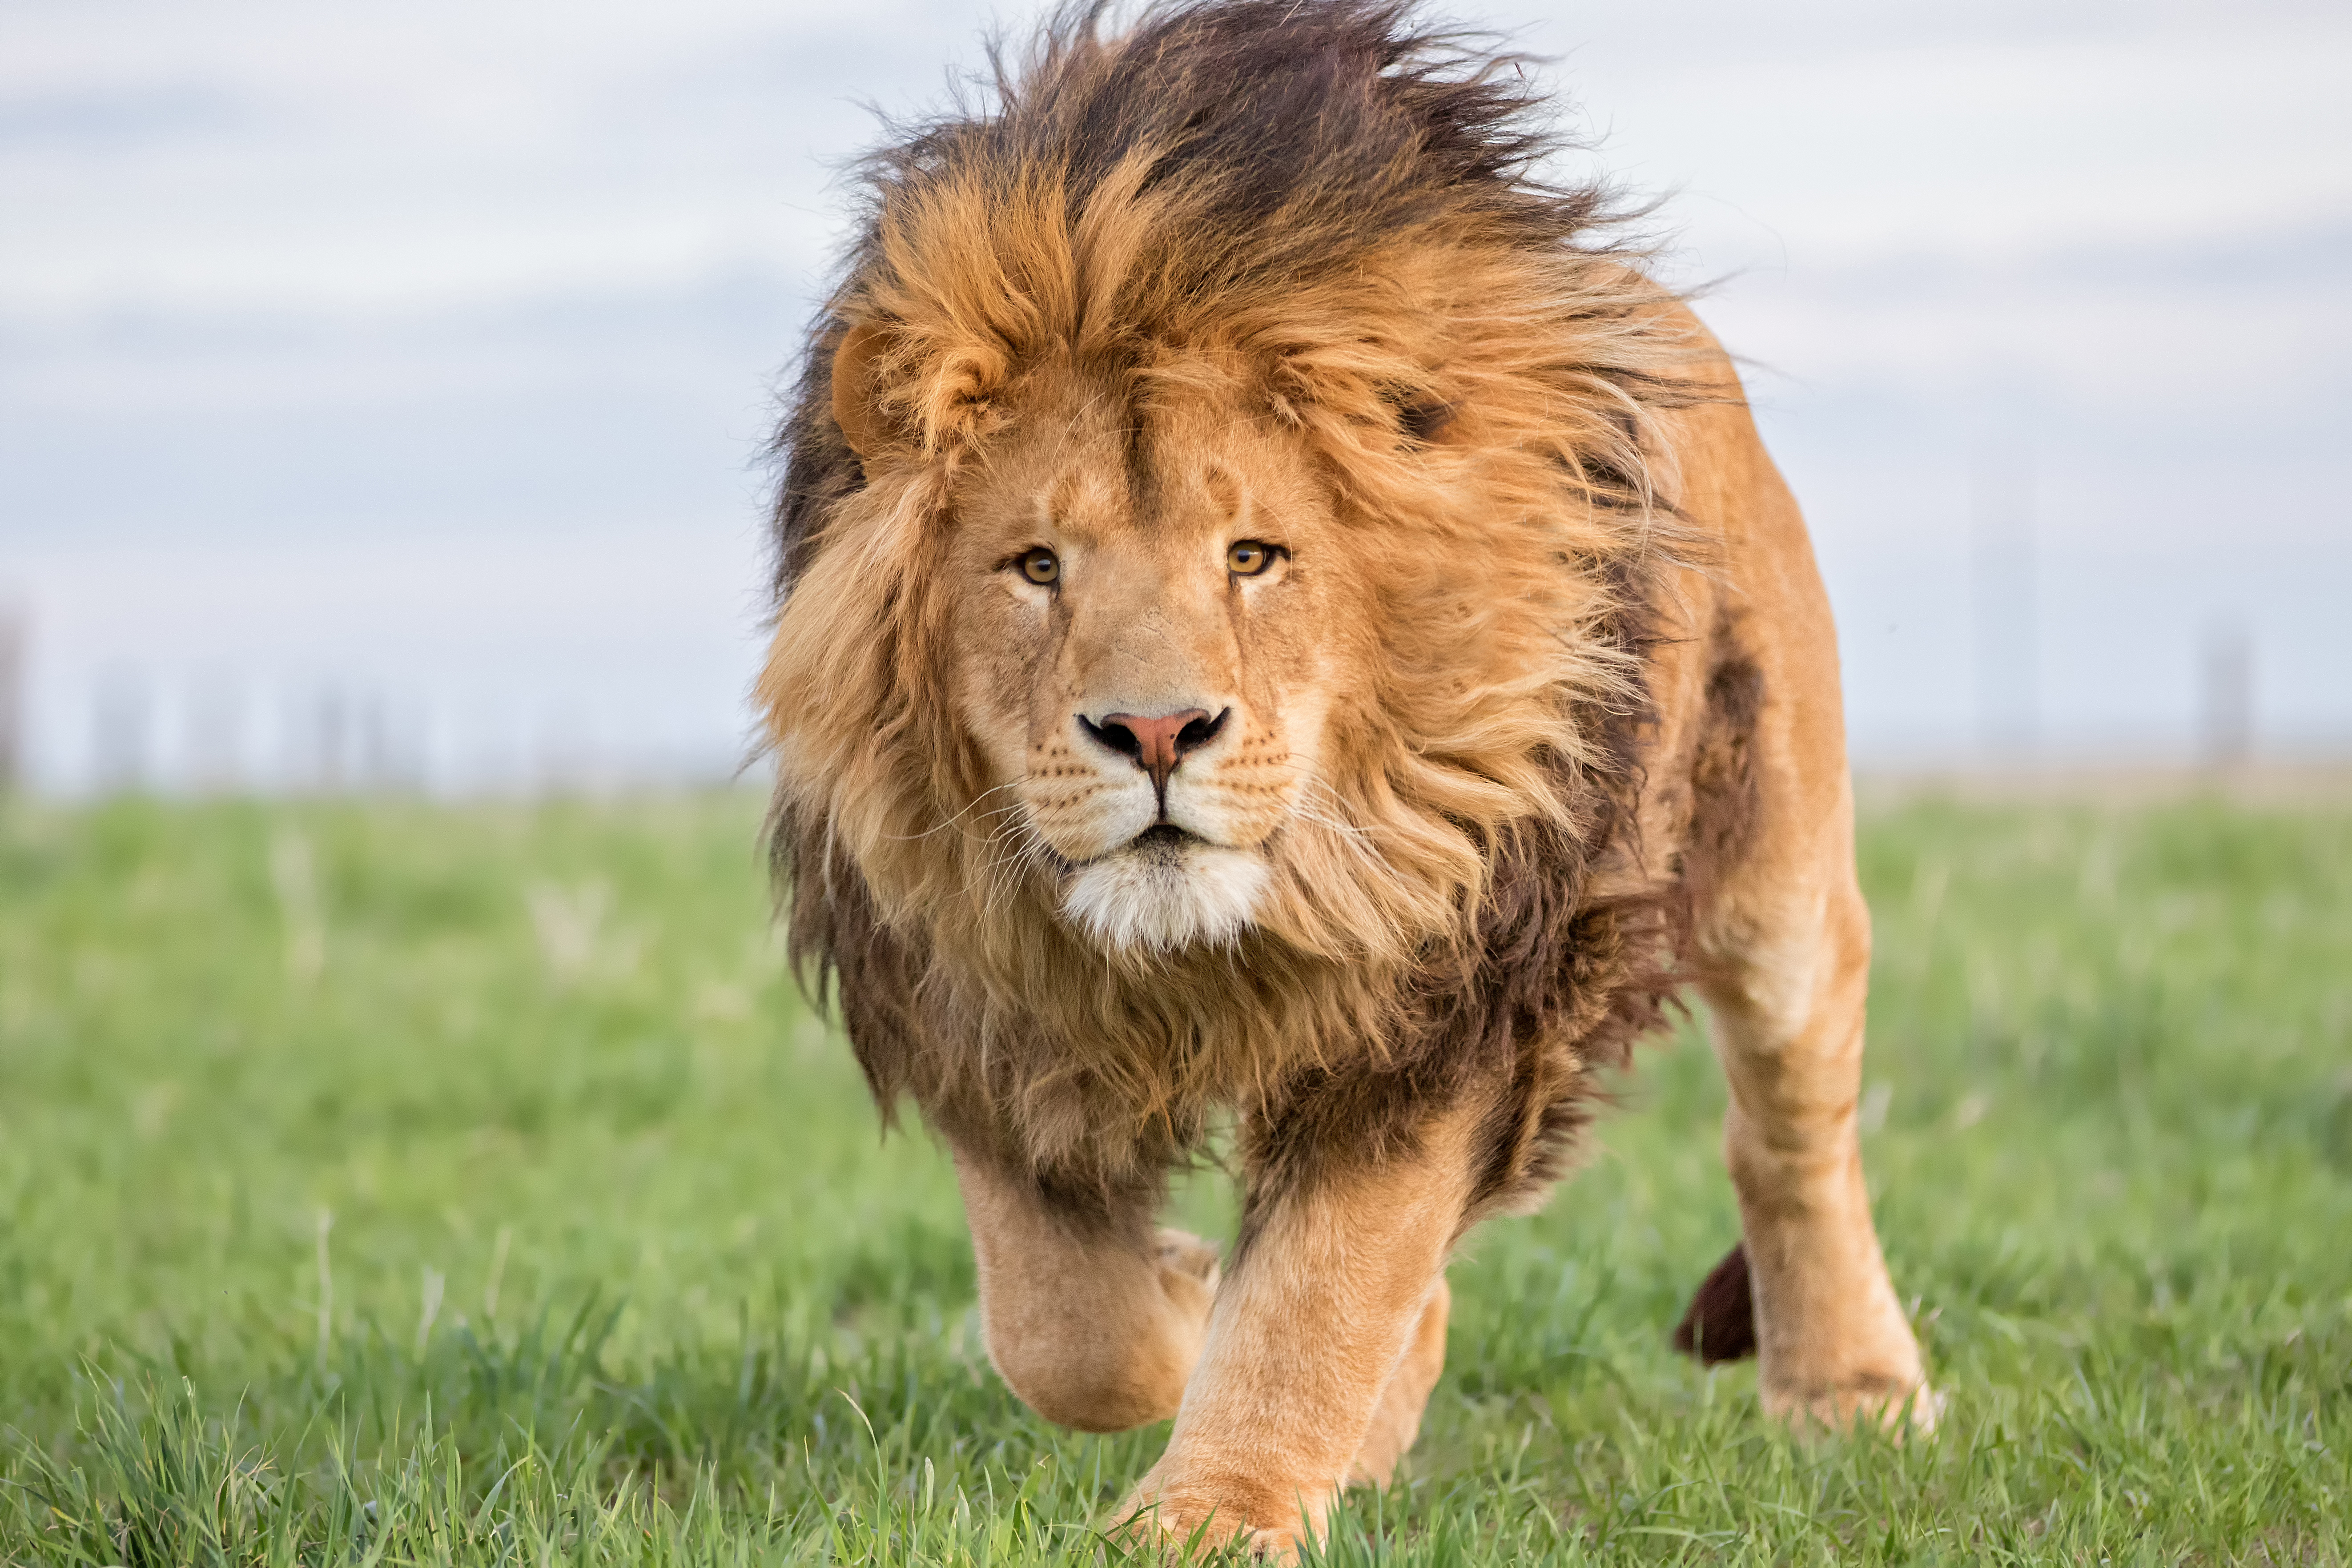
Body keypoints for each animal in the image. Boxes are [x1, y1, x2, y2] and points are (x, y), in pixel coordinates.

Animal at [756, 0, 1934, 1554]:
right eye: (1034, 565)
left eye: (1252, 555)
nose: (1155, 732)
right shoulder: (965, 986)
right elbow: (1062, 1324)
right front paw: (1189, 1302)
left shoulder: (1448, 989)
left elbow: (1323, 1281)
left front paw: (1210, 1512)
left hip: (1776, 870)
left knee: (1790, 1130)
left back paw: (1852, 1388)